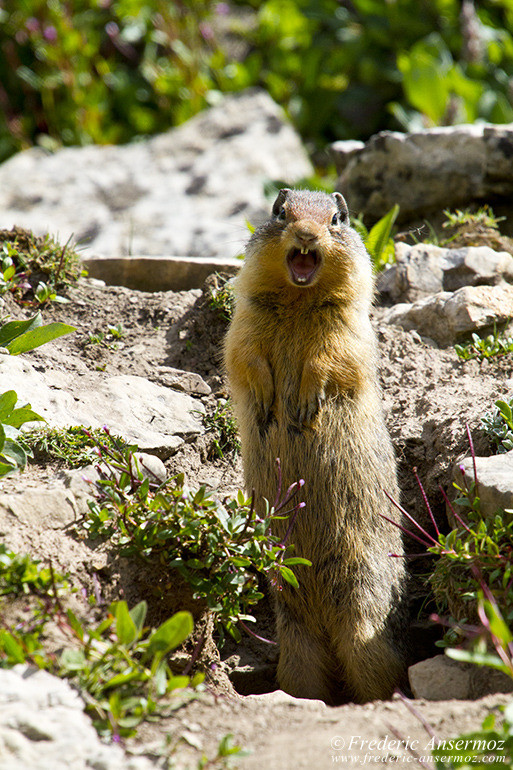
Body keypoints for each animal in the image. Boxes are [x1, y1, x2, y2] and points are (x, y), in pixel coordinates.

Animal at [224, 188, 408, 704]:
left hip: (365, 606)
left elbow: (331, 359)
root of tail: (326, 623)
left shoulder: (347, 328)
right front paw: (268, 402)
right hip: (295, 636)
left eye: (337, 218)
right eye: (280, 211)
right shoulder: (244, 321)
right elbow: (244, 356)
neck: (299, 299)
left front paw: (304, 403)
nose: (307, 234)